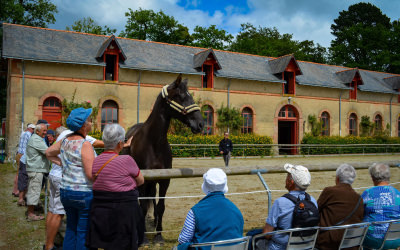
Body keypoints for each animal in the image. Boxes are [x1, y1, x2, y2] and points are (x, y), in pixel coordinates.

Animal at [123, 75, 205, 243]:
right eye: (180, 96)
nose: (200, 124)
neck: (154, 143)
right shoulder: (144, 180)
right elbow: (142, 205)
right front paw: (144, 238)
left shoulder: (164, 180)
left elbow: (161, 206)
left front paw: (159, 235)